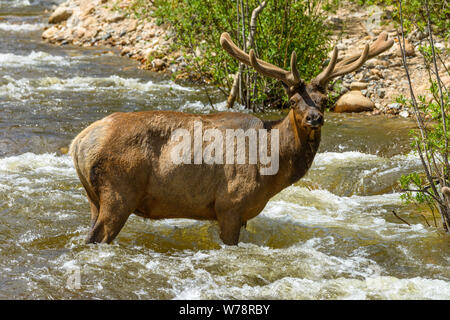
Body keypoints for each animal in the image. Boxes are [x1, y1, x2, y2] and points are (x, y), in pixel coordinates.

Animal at [70, 31, 394, 245]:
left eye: (324, 100)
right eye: (292, 101)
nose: (315, 118)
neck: (272, 167)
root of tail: (78, 143)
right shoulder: (229, 204)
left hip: (93, 198)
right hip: (119, 191)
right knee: (96, 236)